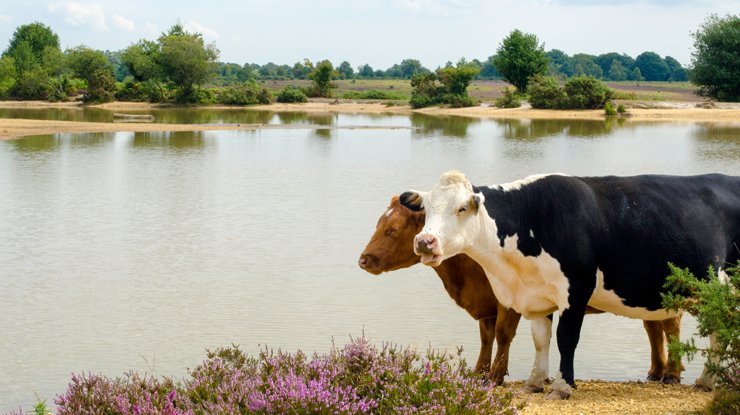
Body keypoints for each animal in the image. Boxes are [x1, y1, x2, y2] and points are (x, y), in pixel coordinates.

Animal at [358, 195, 684, 390]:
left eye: (393, 229)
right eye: (379, 223)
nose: (363, 259)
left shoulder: (508, 303)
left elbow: (503, 335)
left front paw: (495, 376)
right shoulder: (486, 305)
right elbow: (486, 338)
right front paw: (478, 373)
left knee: (671, 328)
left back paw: (672, 373)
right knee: (654, 329)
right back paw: (655, 372)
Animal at [404, 171, 740, 400]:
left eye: (461, 208)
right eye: (427, 209)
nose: (424, 241)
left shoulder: (576, 290)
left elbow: (566, 339)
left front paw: (562, 386)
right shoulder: (537, 295)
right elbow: (541, 339)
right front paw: (535, 382)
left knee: (718, 335)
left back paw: (706, 381)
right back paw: (706, 382)